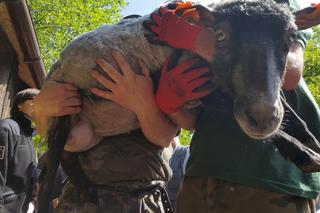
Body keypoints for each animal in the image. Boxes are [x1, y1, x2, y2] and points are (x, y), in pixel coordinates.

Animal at [38, 0, 320, 212]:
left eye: (292, 36)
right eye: (220, 35)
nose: (261, 118)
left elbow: (290, 113)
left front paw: (311, 142)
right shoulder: (197, 88)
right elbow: (234, 111)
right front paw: (305, 155)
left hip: (86, 134)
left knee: (69, 156)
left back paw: (86, 189)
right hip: (64, 111)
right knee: (49, 173)